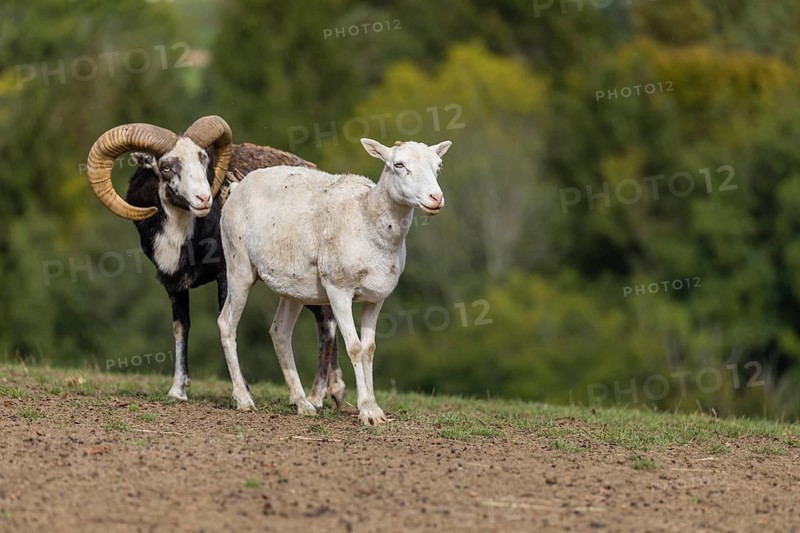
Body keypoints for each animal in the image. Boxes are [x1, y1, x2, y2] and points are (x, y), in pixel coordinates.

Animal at [85, 116, 344, 410]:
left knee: (327, 322)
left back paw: (316, 398)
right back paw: (334, 393)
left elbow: (227, 323)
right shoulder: (172, 283)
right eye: (165, 166)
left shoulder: (225, 276)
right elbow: (181, 328)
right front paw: (177, 391)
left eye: (203, 159)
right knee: (327, 316)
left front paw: (243, 394)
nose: (203, 199)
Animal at [218, 138, 451, 424]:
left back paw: (303, 403)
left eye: (438, 166)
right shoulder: (338, 289)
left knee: (280, 332)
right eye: (398, 164)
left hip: (292, 287)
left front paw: (374, 408)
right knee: (227, 323)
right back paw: (244, 400)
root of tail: (237, 187)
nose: (436, 199)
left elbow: (370, 348)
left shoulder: (377, 297)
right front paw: (366, 411)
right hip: (238, 263)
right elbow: (355, 347)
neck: (367, 217)